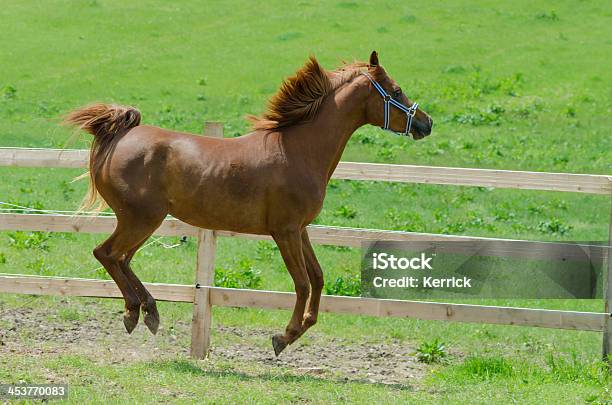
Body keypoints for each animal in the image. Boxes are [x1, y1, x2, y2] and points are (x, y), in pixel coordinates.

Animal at [64, 50, 432, 354]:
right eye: (396, 91)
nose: (426, 123)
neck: (298, 151)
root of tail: (120, 136)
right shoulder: (284, 231)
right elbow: (301, 283)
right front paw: (283, 337)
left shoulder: (301, 229)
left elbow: (317, 278)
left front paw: (298, 330)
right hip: (140, 219)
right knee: (107, 253)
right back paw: (136, 313)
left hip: (142, 222)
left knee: (122, 259)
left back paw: (147, 311)